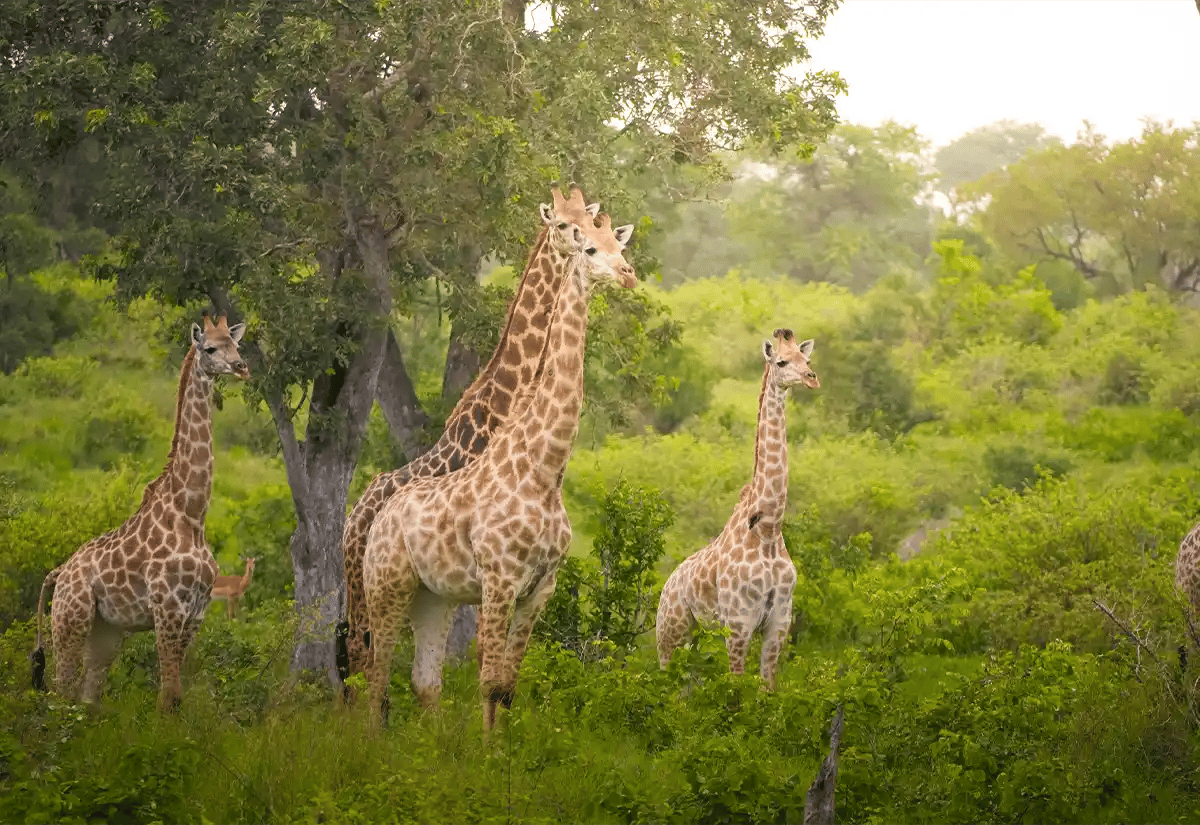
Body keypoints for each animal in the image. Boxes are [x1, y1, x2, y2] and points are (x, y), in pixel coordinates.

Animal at [30, 315, 248, 710]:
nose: (241, 367)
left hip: (107, 630)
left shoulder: (196, 612)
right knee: (61, 689)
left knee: (87, 695)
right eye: (210, 348)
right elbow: (167, 697)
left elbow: (175, 696)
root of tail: (57, 573)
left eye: (236, 344)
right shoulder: (168, 607)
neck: (192, 515)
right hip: (70, 619)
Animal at [362, 204, 636, 730]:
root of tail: (377, 516)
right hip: (386, 586)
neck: (543, 470)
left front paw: (502, 752)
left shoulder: (540, 588)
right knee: (373, 676)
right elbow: (488, 683)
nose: (629, 275)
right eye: (591, 248)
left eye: (622, 247)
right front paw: (485, 753)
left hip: (434, 597)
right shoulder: (500, 578)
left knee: (422, 679)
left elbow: (507, 688)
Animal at [656, 330, 819, 690]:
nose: (812, 378)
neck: (769, 529)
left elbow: (767, 689)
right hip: (670, 637)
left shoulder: (778, 624)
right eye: (781, 362)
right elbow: (736, 690)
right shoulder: (739, 624)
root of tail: (665, 587)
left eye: (807, 360)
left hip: (695, 639)